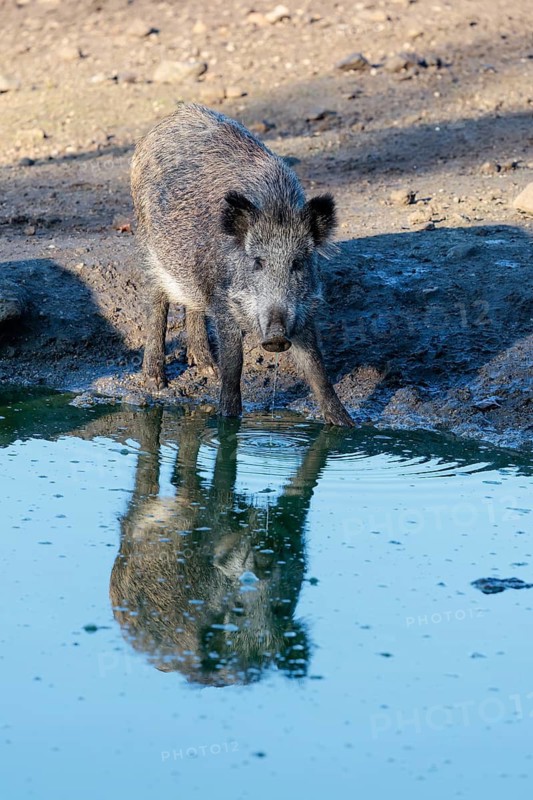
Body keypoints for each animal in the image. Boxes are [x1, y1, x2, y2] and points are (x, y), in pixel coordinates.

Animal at [131, 103, 353, 426]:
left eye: (297, 262)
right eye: (257, 262)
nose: (275, 338)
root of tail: (174, 115)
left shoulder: (304, 310)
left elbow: (317, 371)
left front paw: (345, 424)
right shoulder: (224, 304)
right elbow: (234, 369)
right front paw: (227, 419)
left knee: (193, 305)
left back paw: (206, 367)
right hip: (150, 244)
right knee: (156, 300)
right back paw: (155, 383)